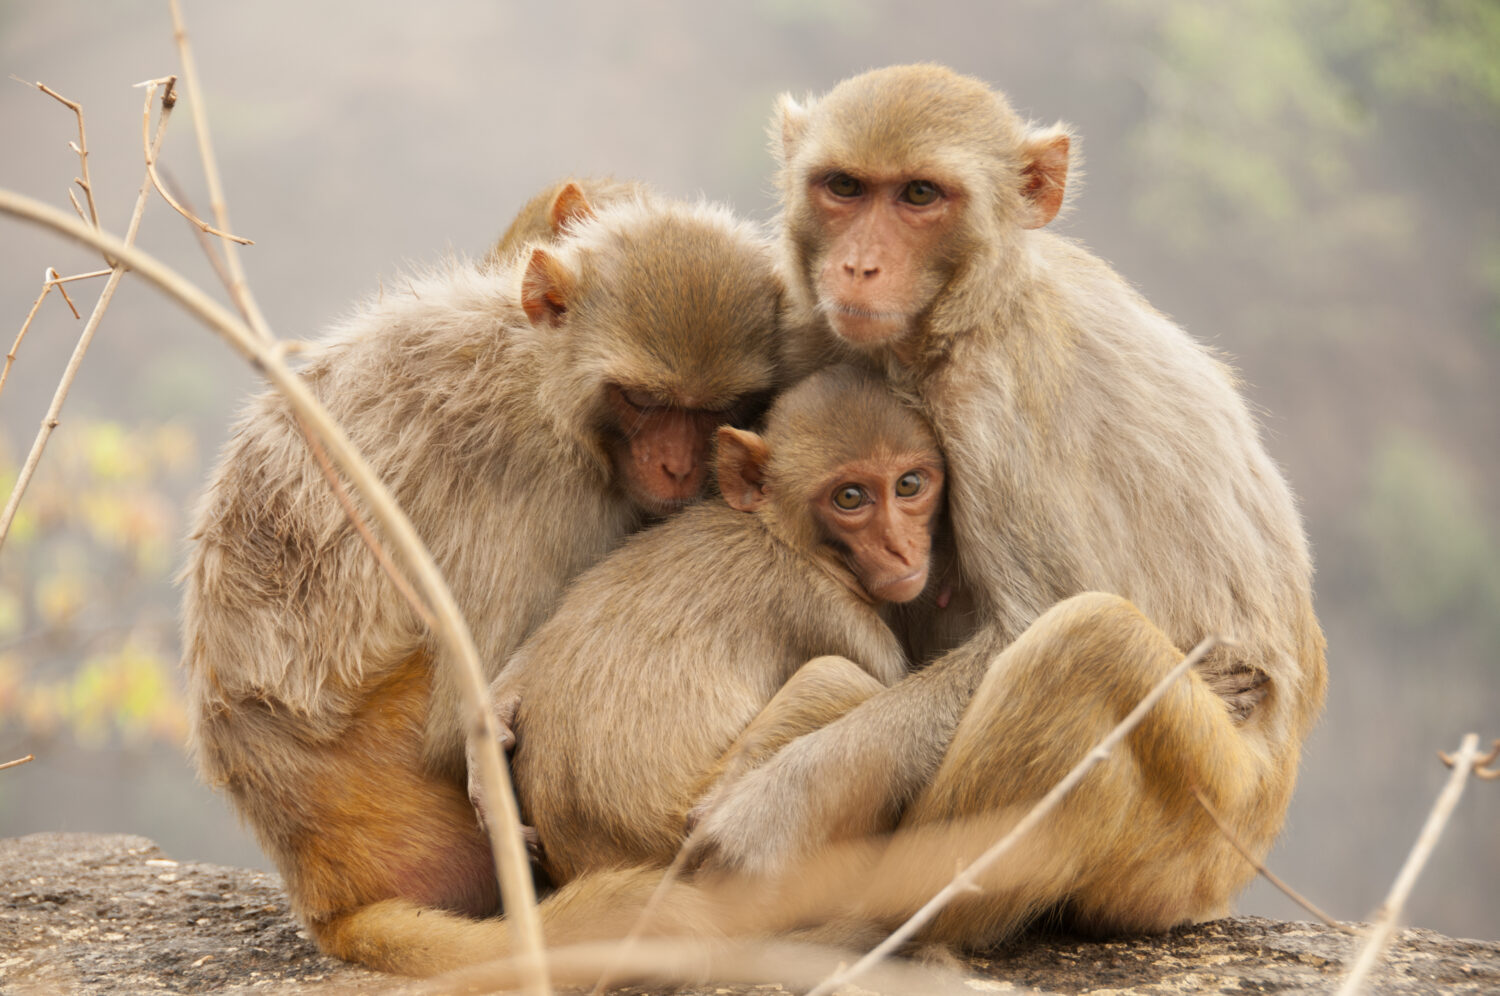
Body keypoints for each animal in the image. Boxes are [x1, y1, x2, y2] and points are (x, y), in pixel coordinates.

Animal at [179, 188, 783, 975]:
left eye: (710, 409)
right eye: (643, 400)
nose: (678, 467)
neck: (544, 380)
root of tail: (318, 883)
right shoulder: (537, 488)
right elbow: (464, 716)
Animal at [486, 364, 945, 887]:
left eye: (908, 485)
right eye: (850, 497)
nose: (900, 548)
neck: (782, 536)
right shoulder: (833, 613)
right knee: (834, 677)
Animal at [681, 64, 1328, 949]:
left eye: (920, 194)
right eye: (844, 187)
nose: (859, 268)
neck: (962, 317)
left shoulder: (996, 403)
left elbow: (1029, 622)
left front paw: (778, 803)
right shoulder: (814, 328)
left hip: (1200, 832)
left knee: (1087, 646)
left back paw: (878, 925)